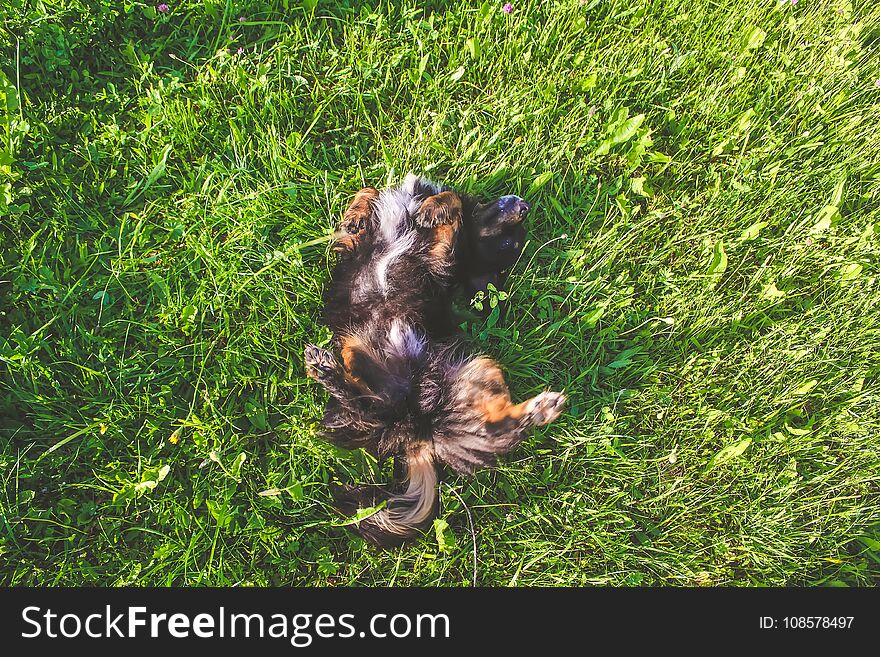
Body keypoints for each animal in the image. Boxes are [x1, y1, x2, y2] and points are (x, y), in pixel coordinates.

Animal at [304, 172, 564, 544]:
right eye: (508, 243)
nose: (525, 206)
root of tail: (418, 426)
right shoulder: (358, 244)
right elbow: (370, 192)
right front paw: (359, 212)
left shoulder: (442, 259)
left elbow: (451, 202)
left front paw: (432, 210)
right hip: (428, 364)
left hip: (468, 373)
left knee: (369, 410)